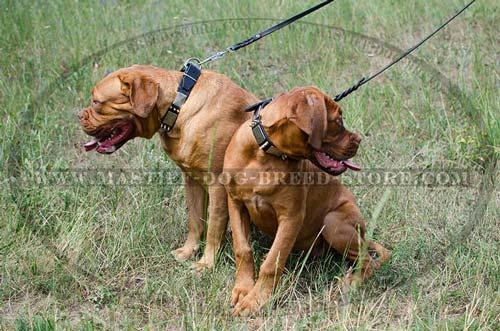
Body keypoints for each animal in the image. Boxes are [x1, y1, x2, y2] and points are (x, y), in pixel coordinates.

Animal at [79, 65, 258, 270]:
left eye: (96, 102)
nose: (78, 116)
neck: (178, 105)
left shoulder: (218, 186)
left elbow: (214, 226)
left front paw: (206, 264)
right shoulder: (192, 181)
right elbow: (195, 220)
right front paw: (189, 251)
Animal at [223, 86, 390, 316]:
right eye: (338, 121)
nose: (359, 140)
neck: (265, 155)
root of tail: (363, 234)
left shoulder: (291, 217)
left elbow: (273, 262)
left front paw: (256, 300)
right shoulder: (236, 203)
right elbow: (243, 250)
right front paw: (243, 289)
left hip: (333, 223)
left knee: (369, 262)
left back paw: (349, 283)